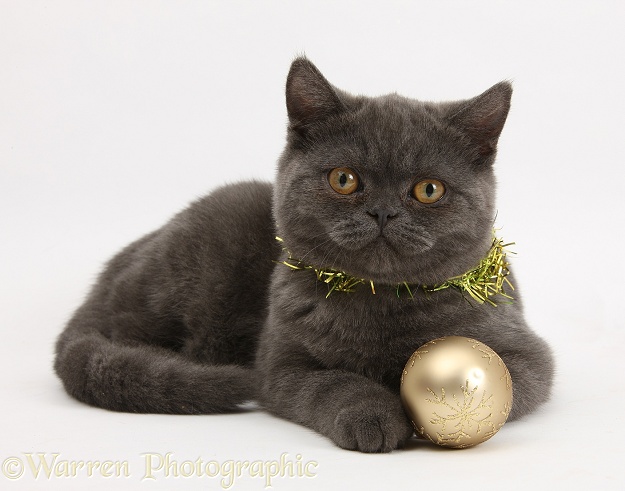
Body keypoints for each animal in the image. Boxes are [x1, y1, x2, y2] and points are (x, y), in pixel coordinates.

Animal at [53, 57, 552, 454]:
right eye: (344, 179)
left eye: (429, 189)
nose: (383, 211)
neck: (380, 302)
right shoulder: (282, 365)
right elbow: (334, 382)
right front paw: (373, 416)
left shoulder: (527, 356)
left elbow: (511, 384)